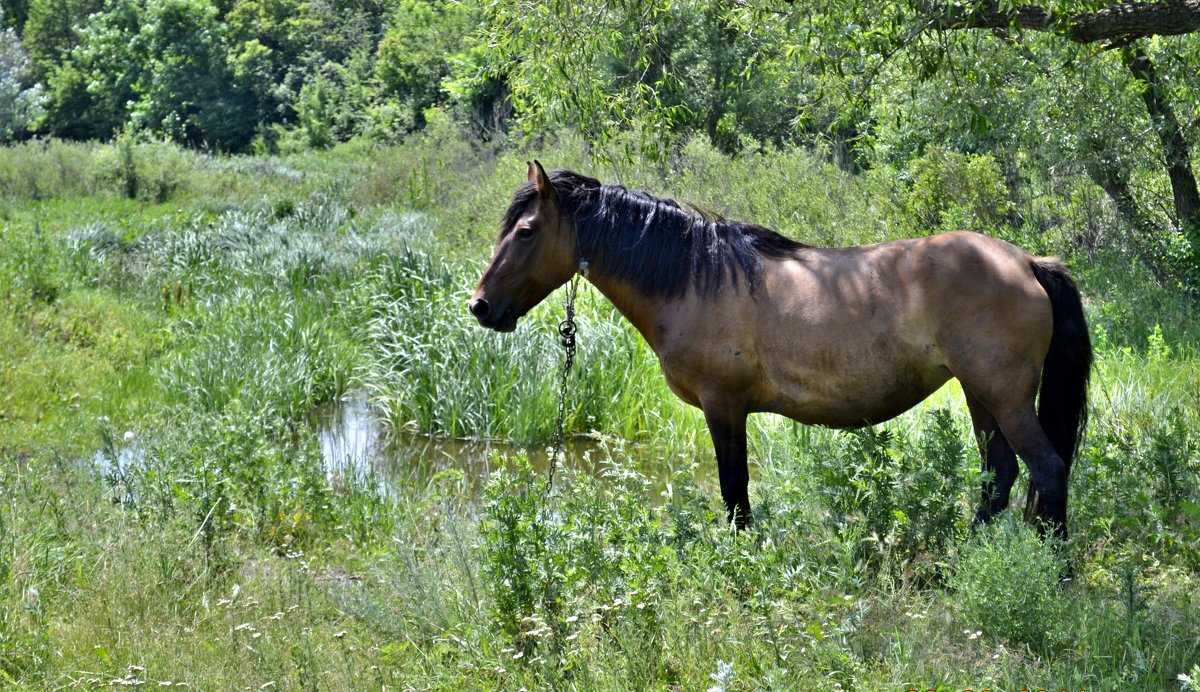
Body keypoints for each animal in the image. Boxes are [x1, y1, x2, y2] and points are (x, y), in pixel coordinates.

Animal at [468, 159, 1089, 537]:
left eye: (525, 231)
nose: (480, 306)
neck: (695, 279)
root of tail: (1028, 262)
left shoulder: (724, 407)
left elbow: (734, 491)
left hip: (1004, 397)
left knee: (1047, 470)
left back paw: (1055, 574)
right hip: (980, 395)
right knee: (999, 477)